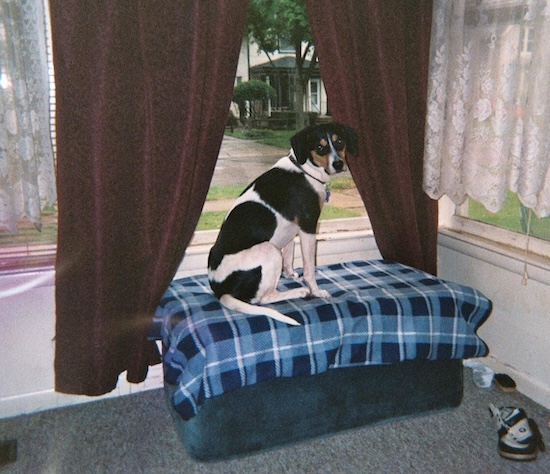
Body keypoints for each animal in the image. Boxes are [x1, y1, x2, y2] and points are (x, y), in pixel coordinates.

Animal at [209, 123, 360, 326]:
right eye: (320, 147)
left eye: (340, 141)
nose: (338, 164)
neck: (305, 170)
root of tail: (220, 291)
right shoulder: (308, 227)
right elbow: (309, 269)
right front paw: (315, 291)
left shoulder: (292, 229)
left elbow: (289, 254)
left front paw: (290, 274)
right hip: (269, 250)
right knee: (263, 299)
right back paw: (299, 292)